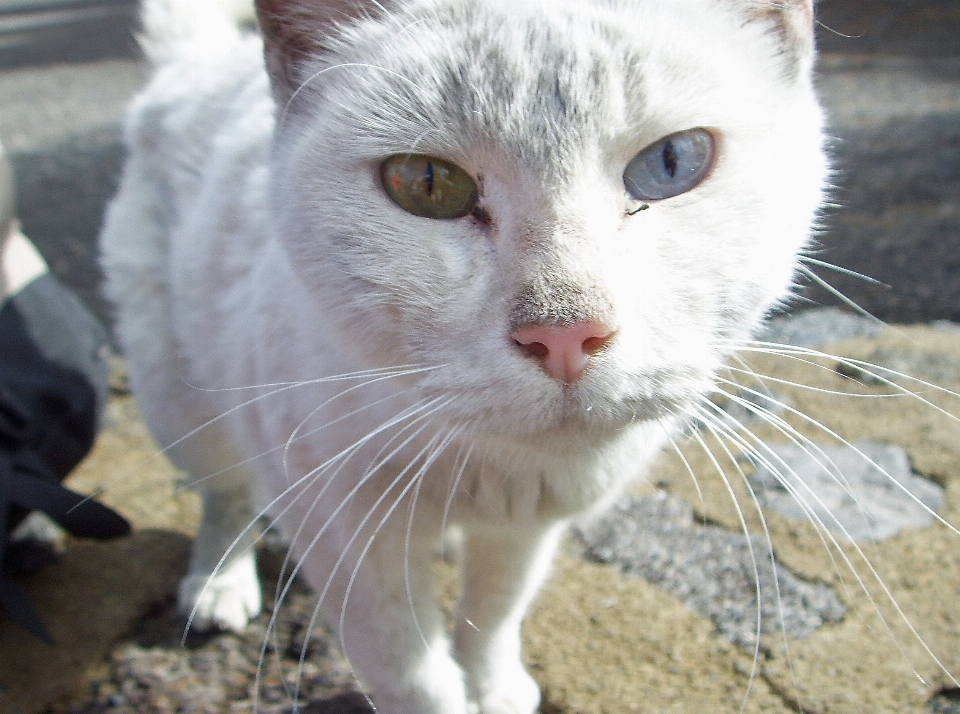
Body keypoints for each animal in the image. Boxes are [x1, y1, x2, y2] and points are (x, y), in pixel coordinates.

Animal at [103, 1, 824, 712]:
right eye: (426, 184)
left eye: (672, 162)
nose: (565, 334)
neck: (486, 465)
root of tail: (190, 64)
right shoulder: (342, 532)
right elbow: (412, 672)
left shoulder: (527, 526)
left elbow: (495, 612)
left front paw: (494, 688)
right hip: (177, 396)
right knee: (223, 495)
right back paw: (216, 586)